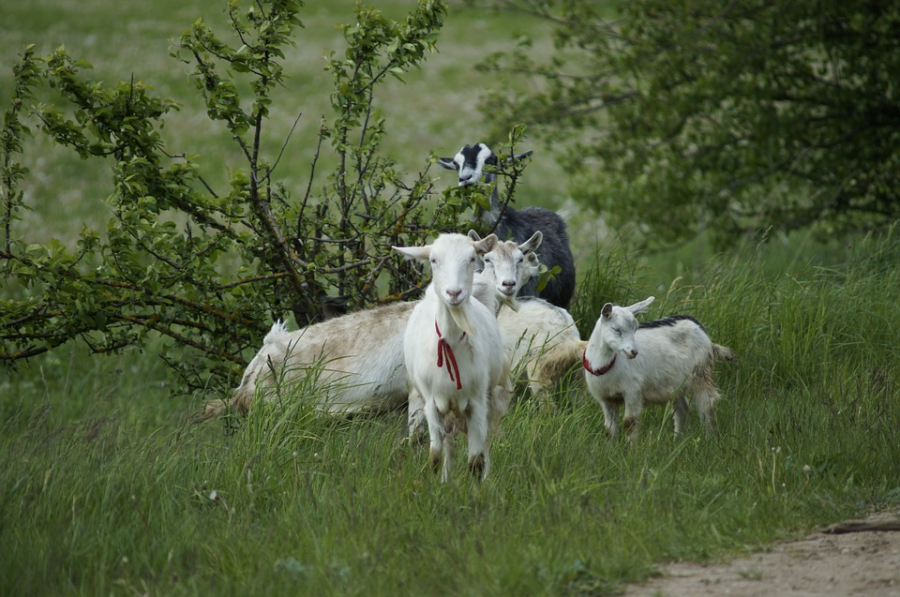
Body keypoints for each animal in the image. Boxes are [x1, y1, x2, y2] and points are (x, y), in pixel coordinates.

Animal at [396, 230, 512, 482]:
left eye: (472, 258)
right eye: (433, 260)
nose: (453, 292)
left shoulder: (477, 401)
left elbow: (476, 460)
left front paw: (479, 490)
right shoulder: (432, 403)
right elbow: (435, 456)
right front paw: (436, 485)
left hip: (491, 397)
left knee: (485, 443)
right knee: (448, 446)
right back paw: (446, 480)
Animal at [584, 296, 740, 440]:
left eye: (635, 329)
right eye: (616, 329)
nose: (634, 352)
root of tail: (699, 326)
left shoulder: (633, 392)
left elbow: (630, 423)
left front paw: (631, 450)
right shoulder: (606, 399)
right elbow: (609, 429)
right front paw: (611, 448)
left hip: (701, 370)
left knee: (707, 403)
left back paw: (709, 438)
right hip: (675, 381)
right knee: (682, 410)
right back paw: (677, 440)